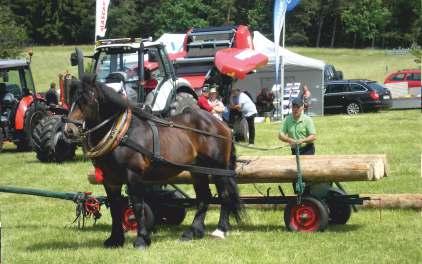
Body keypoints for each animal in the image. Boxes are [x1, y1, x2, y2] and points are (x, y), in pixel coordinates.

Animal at [62, 75, 241, 250]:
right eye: (71, 100)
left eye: (87, 100)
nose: (69, 130)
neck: (123, 135)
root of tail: (222, 125)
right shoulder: (110, 179)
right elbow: (115, 207)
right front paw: (115, 239)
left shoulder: (133, 175)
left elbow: (137, 205)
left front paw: (142, 239)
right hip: (197, 170)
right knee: (204, 197)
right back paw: (193, 231)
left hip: (218, 168)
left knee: (224, 195)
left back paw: (220, 230)